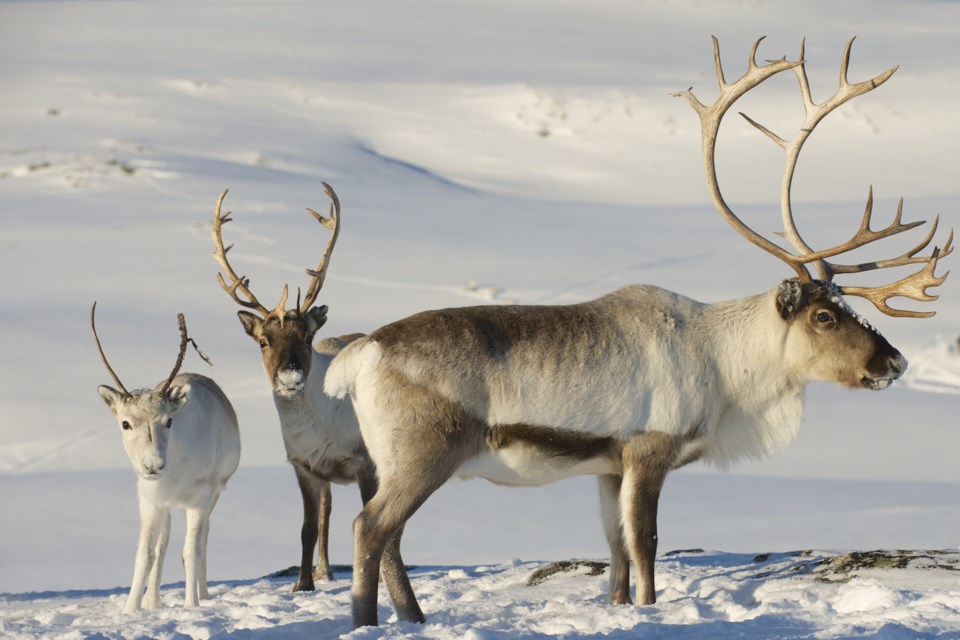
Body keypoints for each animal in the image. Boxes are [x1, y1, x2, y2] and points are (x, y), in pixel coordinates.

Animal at [91, 302, 240, 612]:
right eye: (125, 423)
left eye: (168, 421)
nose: (153, 466)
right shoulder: (149, 498)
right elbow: (145, 553)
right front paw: (131, 609)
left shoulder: (200, 497)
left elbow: (191, 551)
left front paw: (191, 605)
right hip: (166, 505)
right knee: (163, 545)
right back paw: (152, 601)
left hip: (214, 494)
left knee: (202, 539)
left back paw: (203, 594)